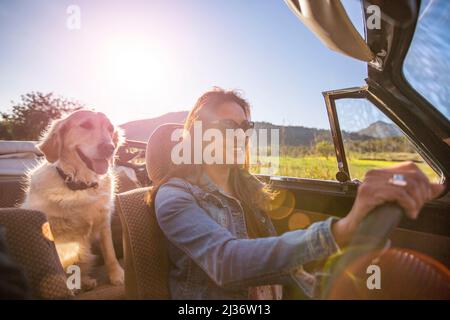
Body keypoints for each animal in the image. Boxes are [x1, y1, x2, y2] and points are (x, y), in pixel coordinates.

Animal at [21, 109, 125, 290]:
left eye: (110, 128)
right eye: (85, 125)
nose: (109, 148)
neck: (79, 184)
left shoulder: (104, 221)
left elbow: (110, 252)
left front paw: (116, 274)